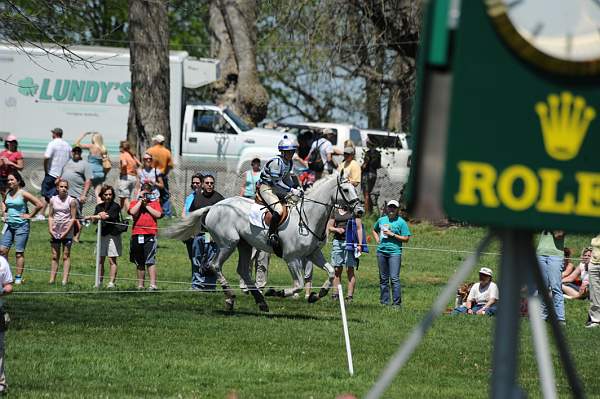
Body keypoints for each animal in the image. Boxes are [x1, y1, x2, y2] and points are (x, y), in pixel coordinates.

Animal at [169, 175, 366, 312]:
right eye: (346, 190)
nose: (360, 211)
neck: (308, 217)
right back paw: (231, 298)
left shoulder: (313, 254)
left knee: (242, 270)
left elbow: (331, 272)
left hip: (244, 244)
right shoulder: (292, 258)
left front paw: (316, 295)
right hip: (228, 243)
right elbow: (299, 284)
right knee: (214, 265)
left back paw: (261, 302)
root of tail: (215, 206)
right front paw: (276, 292)